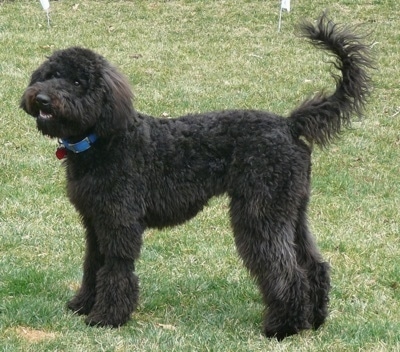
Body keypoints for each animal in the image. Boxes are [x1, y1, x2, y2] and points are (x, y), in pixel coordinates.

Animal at [21, 15, 372, 340]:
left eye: (78, 82)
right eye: (51, 75)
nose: (42, 99)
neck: (101, 139)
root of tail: (289, 124)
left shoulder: (119, 223)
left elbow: (116, 268)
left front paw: (107, 317)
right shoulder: (95, 221)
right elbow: (93, 263)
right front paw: (82, 304)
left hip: (260, 214)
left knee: (288, 272)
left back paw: (283, 327)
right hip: (291, 211)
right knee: (314, 265)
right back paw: (315, 319)